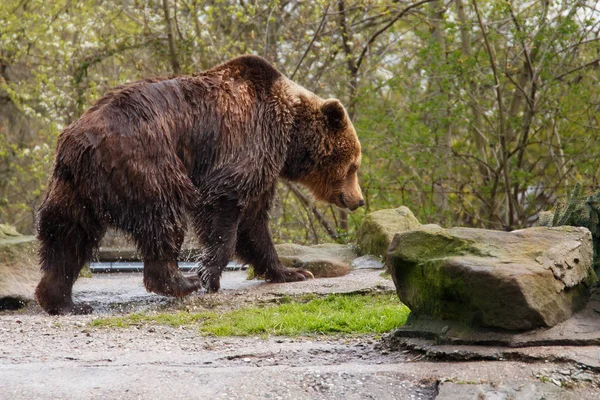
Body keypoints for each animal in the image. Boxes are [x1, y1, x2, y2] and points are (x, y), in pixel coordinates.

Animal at [35, 54, 364, 314]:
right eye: (354, 165)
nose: (358, 200)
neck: (288, 134)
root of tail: (77, 143)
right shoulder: (246, 143)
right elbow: (224, 209)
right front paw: (208, 276)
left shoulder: (263, 165)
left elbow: (254, 225)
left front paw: (293, 271)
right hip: (145, 162)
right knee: (163, 215)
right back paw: (181, 280)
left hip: (73, 187)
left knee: (67, 235)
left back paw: (62, 300)